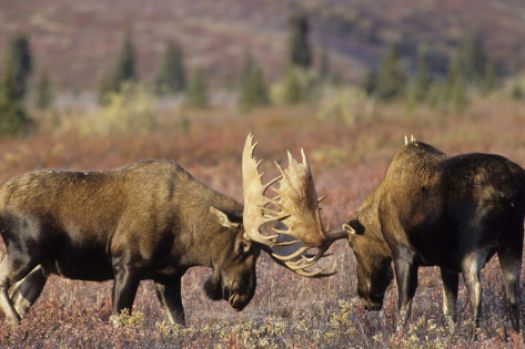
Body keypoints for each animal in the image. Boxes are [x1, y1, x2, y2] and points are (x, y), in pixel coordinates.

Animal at [0, 133, 344, 324]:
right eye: (244, 246)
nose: (242, 295)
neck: (186, 242)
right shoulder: (127, 265)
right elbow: (119, 320)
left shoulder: (167, 276)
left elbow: (180, 323)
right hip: (24, 252)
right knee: (4, 287)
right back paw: (16, 323)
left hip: (41, 268)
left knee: (18, 297)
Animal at [342, 137, 524, 332]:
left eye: (353, 247)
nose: (366, 297)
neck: (378, 218)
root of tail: (510, 193)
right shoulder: (447, 265)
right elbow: (449, 310)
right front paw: (452, 335)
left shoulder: (403, 253)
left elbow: (404, 308)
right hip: (512, 242)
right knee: (513, 295)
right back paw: (515, 333)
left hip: (473, 248)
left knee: (476, 291)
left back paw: (474, 335)